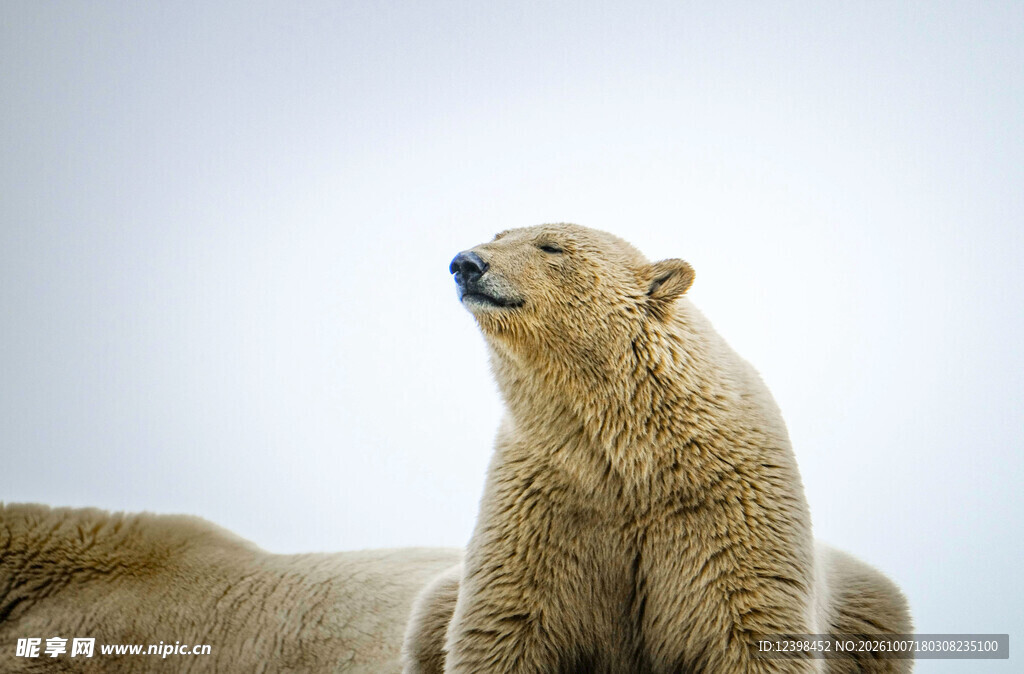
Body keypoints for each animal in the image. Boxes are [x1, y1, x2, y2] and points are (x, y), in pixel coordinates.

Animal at [402, 224, 912, 673]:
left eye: (550, 246)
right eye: (498, 235)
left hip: (873, 615)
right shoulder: (542, 500)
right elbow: (506, 622)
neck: (635, 458)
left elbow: (747, 625)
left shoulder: (726, 509)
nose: (466, 263)